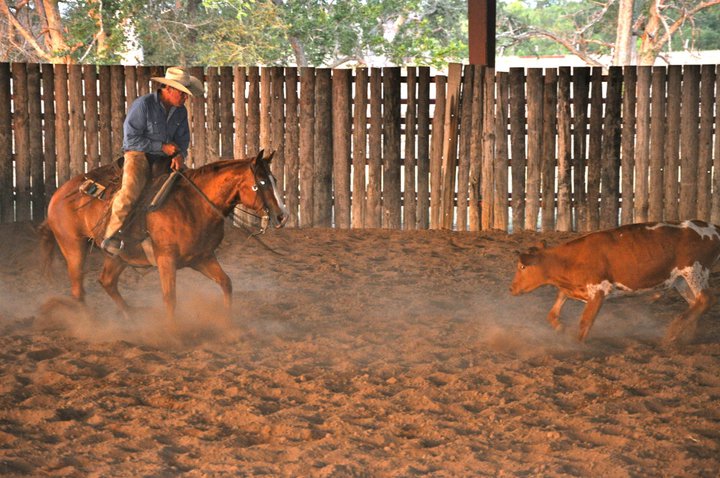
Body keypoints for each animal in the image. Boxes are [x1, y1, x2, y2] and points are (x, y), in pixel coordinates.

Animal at [38, 149, 286, 324]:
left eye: (274, 179)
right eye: (262, 182)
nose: (282, 215)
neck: (194, 204)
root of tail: (59, 194)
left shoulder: (202, 257)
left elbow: (226, 283)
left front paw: (227, 322)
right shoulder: (166, 258)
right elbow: (170, 297)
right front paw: (172, 332)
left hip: (118, 256)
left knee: (106, 282)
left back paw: (131, 317)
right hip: (73, 247)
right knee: (78, 291)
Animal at [510, 221, 716, 344]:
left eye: (522, 266)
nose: (511, 288)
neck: (569, 259)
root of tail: (712, 229)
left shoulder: (598, 291)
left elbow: (585, 322)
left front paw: (576, 345)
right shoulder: (572, 288)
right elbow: (553, 311)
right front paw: (560, 327)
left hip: (696, 271)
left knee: (705, 300)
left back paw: (673, 331)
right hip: (681, 280)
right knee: (695, 302)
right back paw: (686, 336)